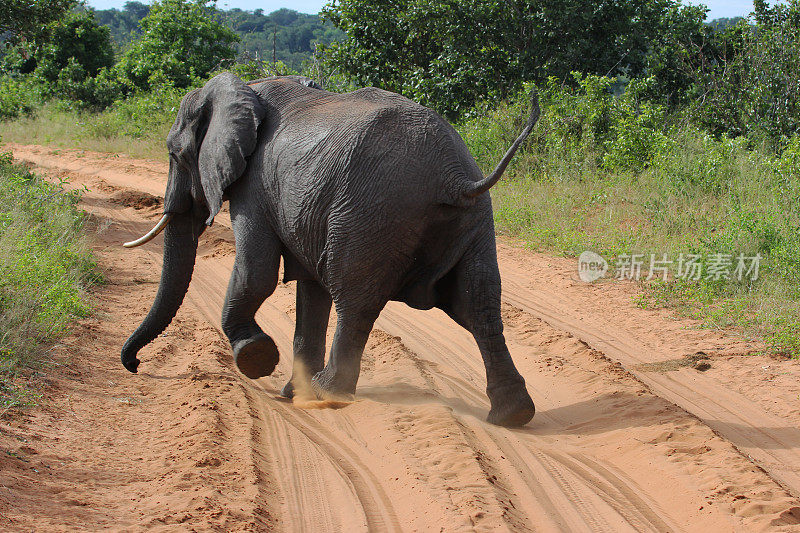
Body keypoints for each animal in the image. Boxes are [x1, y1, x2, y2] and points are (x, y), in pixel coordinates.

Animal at [122, 71, 540, 428]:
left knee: (355, 302)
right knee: (479, 304)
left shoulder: (254, 189)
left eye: (176, 155)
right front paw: (291, 392)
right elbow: (310, 292)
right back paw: (512, 415)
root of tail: (454, 177)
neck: (246, 88)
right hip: (474, 222)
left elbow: (257, 272)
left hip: (370, 215)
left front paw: (257, 358)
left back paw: (328, 393)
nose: (136, 365)